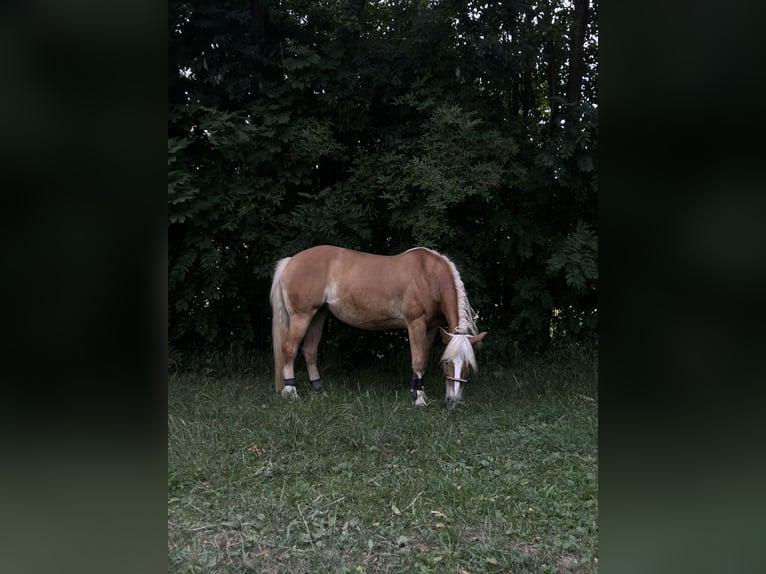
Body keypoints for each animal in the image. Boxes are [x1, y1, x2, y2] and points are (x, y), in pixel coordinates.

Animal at [270, 245, 486, 408]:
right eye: (447, 362)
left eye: (467, 365)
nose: (453, 401)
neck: (429, 275)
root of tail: (291, 261)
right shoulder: (415, 323)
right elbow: (418, 361)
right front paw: (418, 399)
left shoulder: (431, 328)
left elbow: (422, 359)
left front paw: (418, 392)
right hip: (301, 317)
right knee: (289, 349)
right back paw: (291, 391)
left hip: (318, 315)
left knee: (309, 350)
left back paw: (319, 391)